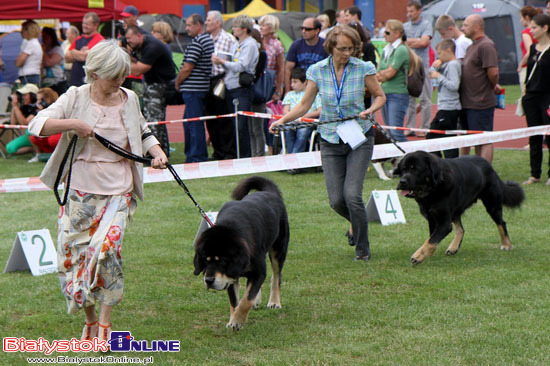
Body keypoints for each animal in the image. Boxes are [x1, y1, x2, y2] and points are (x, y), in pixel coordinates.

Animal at [193, 176, 288, 330]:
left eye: (222, 261)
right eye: (205, 260)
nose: (209, 281)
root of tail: (269, 192)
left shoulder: (257, 271)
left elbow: (246, 300)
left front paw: (237, 321)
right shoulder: (230, 277)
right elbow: (235, 300)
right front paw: (233, 318)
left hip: (278, 249)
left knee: (276, 276)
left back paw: (274, 302)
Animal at [396, 150, 528, 264]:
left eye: (416, 169)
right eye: (403, 169)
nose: (402, 181)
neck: (433, 189)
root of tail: (490, 166)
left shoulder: (444, 223)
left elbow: (432, 240)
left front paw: (418, 255)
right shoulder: (432, 218)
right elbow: (431, 238)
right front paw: (428, 254)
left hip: (492, 204)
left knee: (501, 223)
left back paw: (506, 244)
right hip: (457, 209)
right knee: (461, 229)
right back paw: (453, 248)